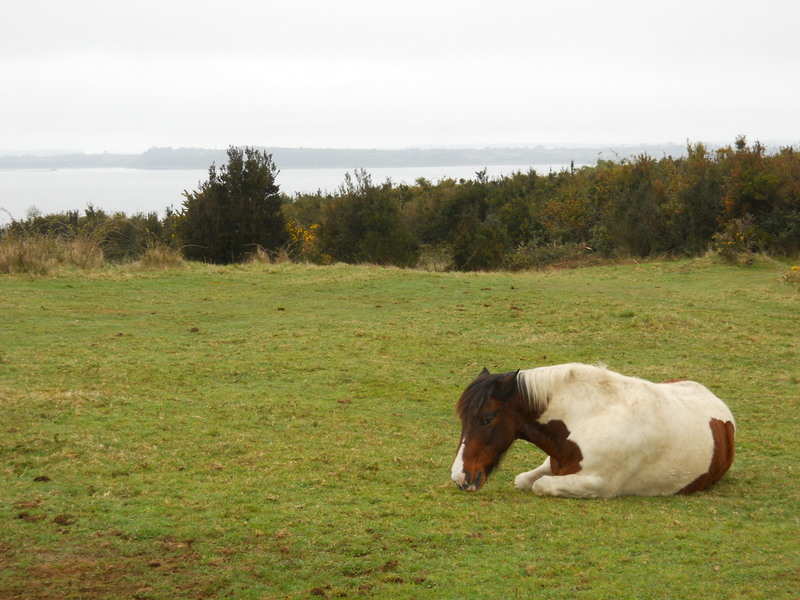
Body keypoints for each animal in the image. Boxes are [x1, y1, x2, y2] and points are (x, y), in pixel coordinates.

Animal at [446, 366, 736, 496]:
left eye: (486, 419)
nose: (460, 476)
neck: (589, 418)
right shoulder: (555, 465)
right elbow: (523, 480)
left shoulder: (600, 484)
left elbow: (540, 485)